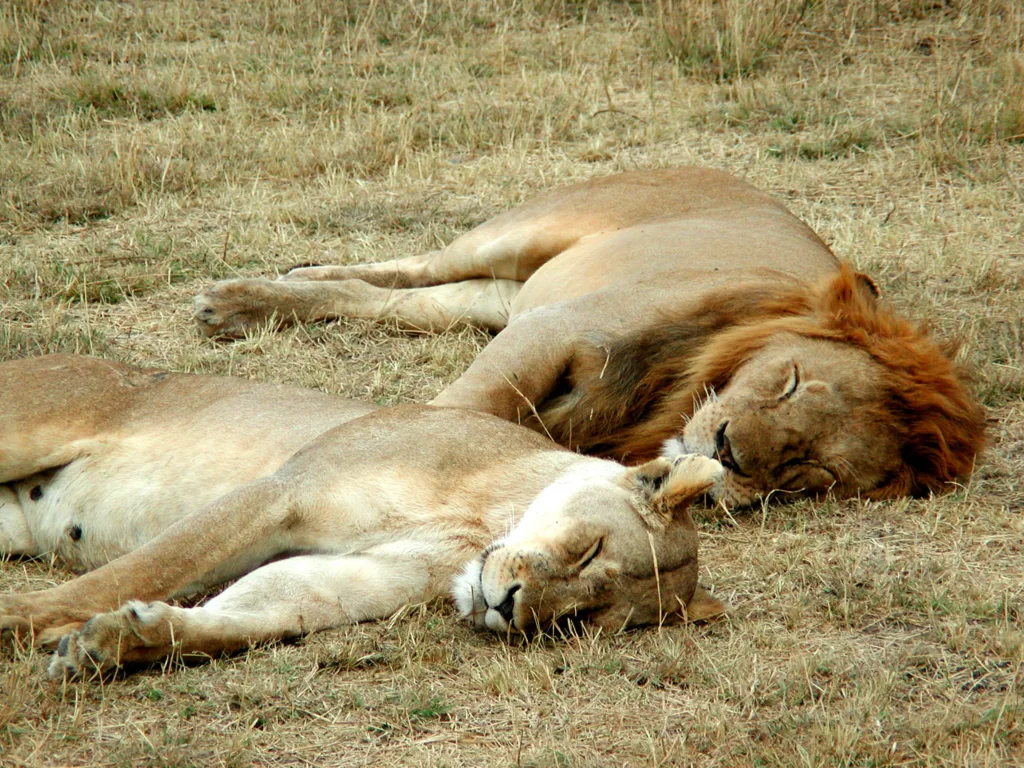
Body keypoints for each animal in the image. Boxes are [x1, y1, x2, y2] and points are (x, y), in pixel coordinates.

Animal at [0, 354, 724, 679]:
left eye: (579, 620)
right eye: (589, 548)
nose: (509, 606)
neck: (479, 524)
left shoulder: (362, 576)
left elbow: (255, 614)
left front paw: (116, 642)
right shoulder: (281, 491)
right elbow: (141, 569)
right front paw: (25, 620)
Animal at [192, 165, 983, 507]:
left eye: (811, 470)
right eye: (789, 381)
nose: (729, 453)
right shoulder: (556, 329)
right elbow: (462, 409)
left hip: (499, 296)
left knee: (397, 300)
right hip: (521, 235)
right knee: (408, 265)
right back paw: (240, 298)